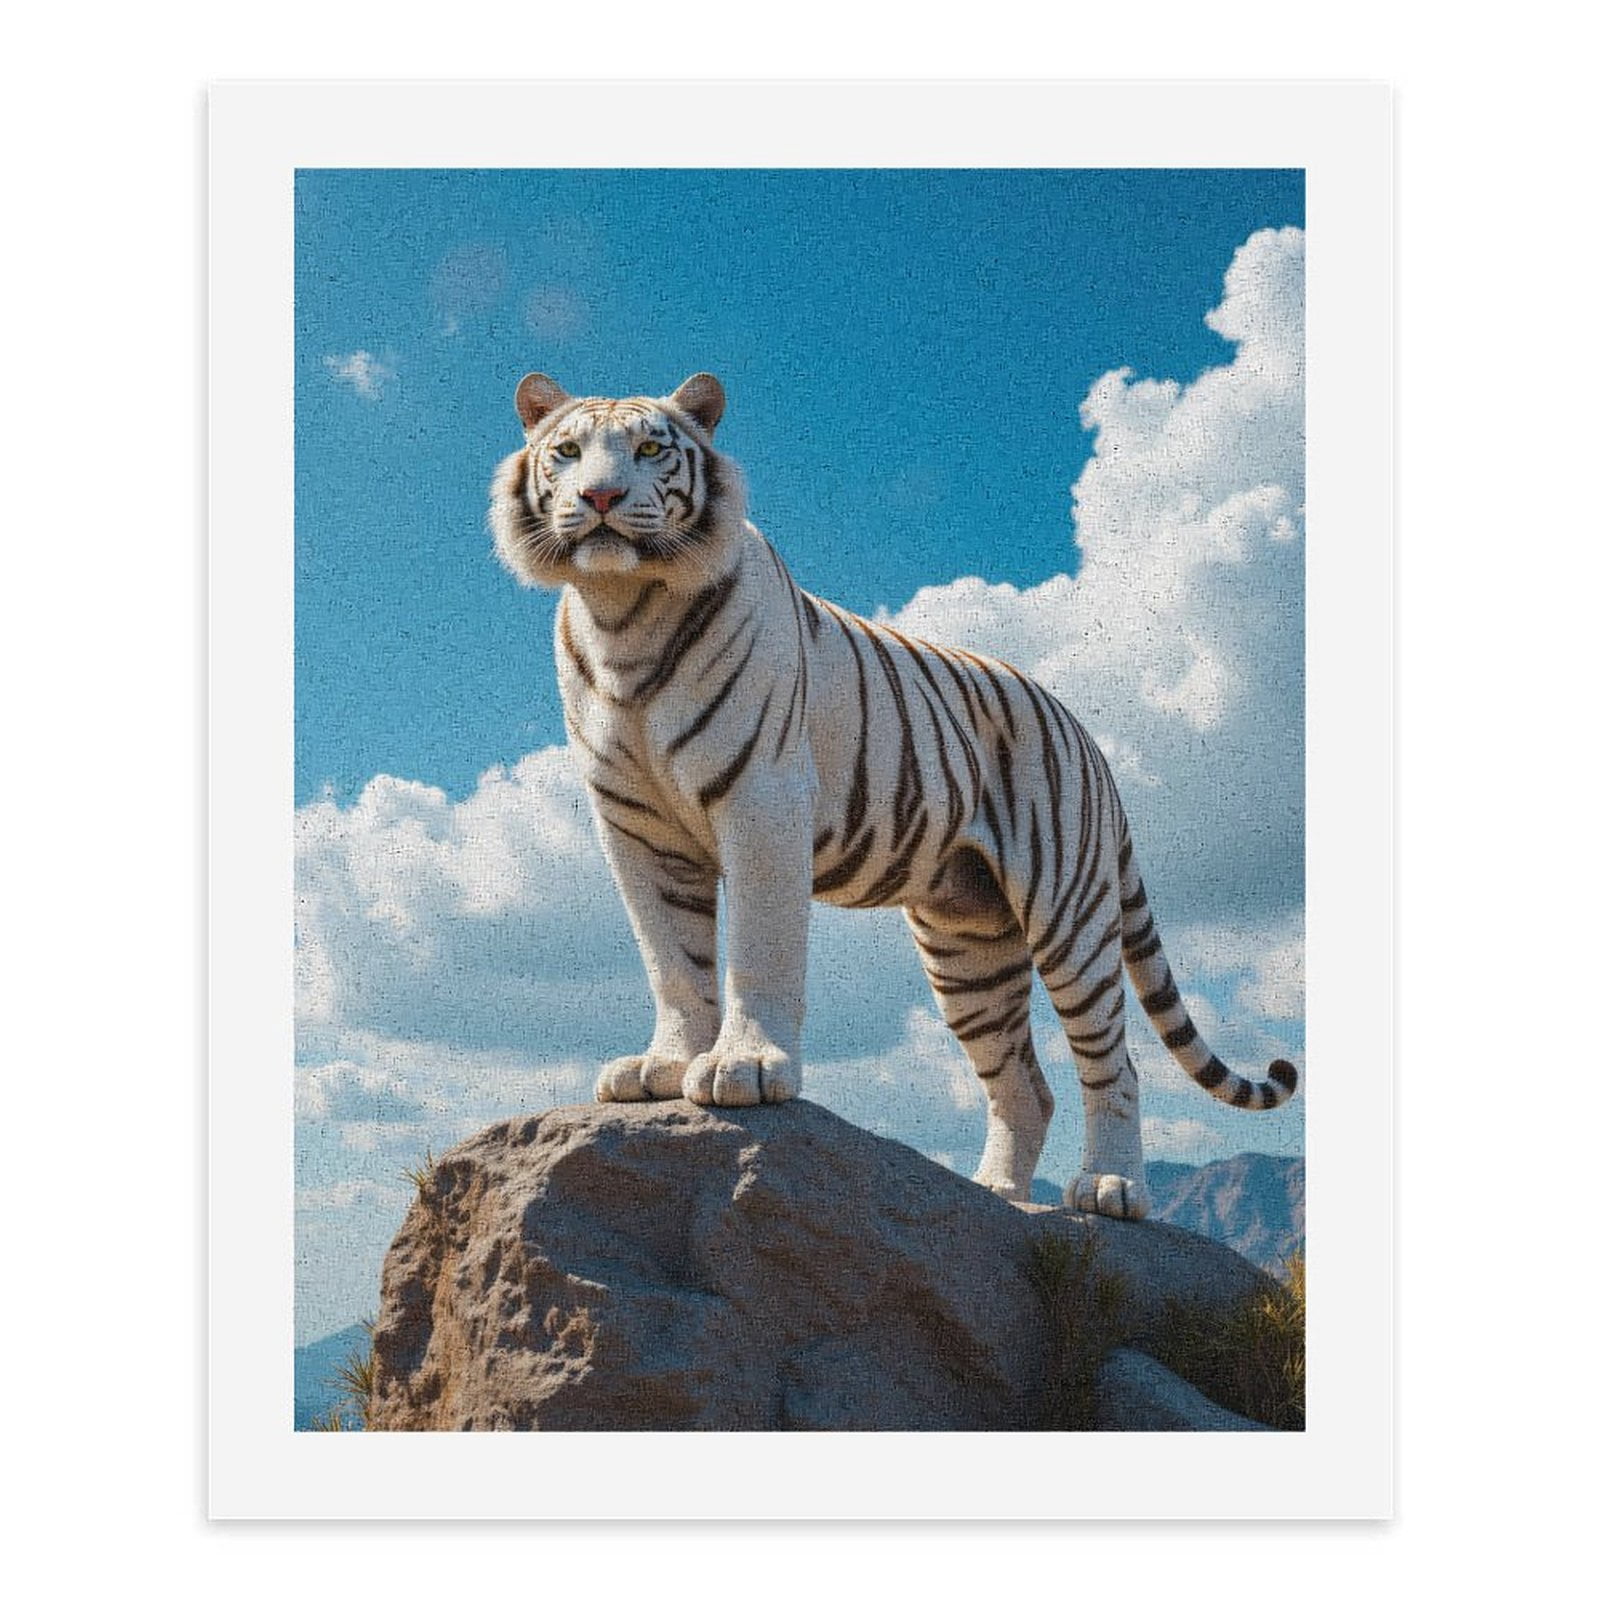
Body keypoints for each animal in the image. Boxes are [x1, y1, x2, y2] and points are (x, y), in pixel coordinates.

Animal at [488, 371, 1299, 1220]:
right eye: (567, 453)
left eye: (650, 450)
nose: (602, 496)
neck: (622, 607)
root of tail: (1088, 738)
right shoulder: (635, 826)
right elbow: (671, 958)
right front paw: (665, 1066)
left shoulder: (761, 798)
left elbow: (757, 947)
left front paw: (747, 1068)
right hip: (967, 947)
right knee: (1024, 1085)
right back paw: (996, 1196)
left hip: (1069, 913)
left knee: (1113, 1061)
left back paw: (1110, 1188)